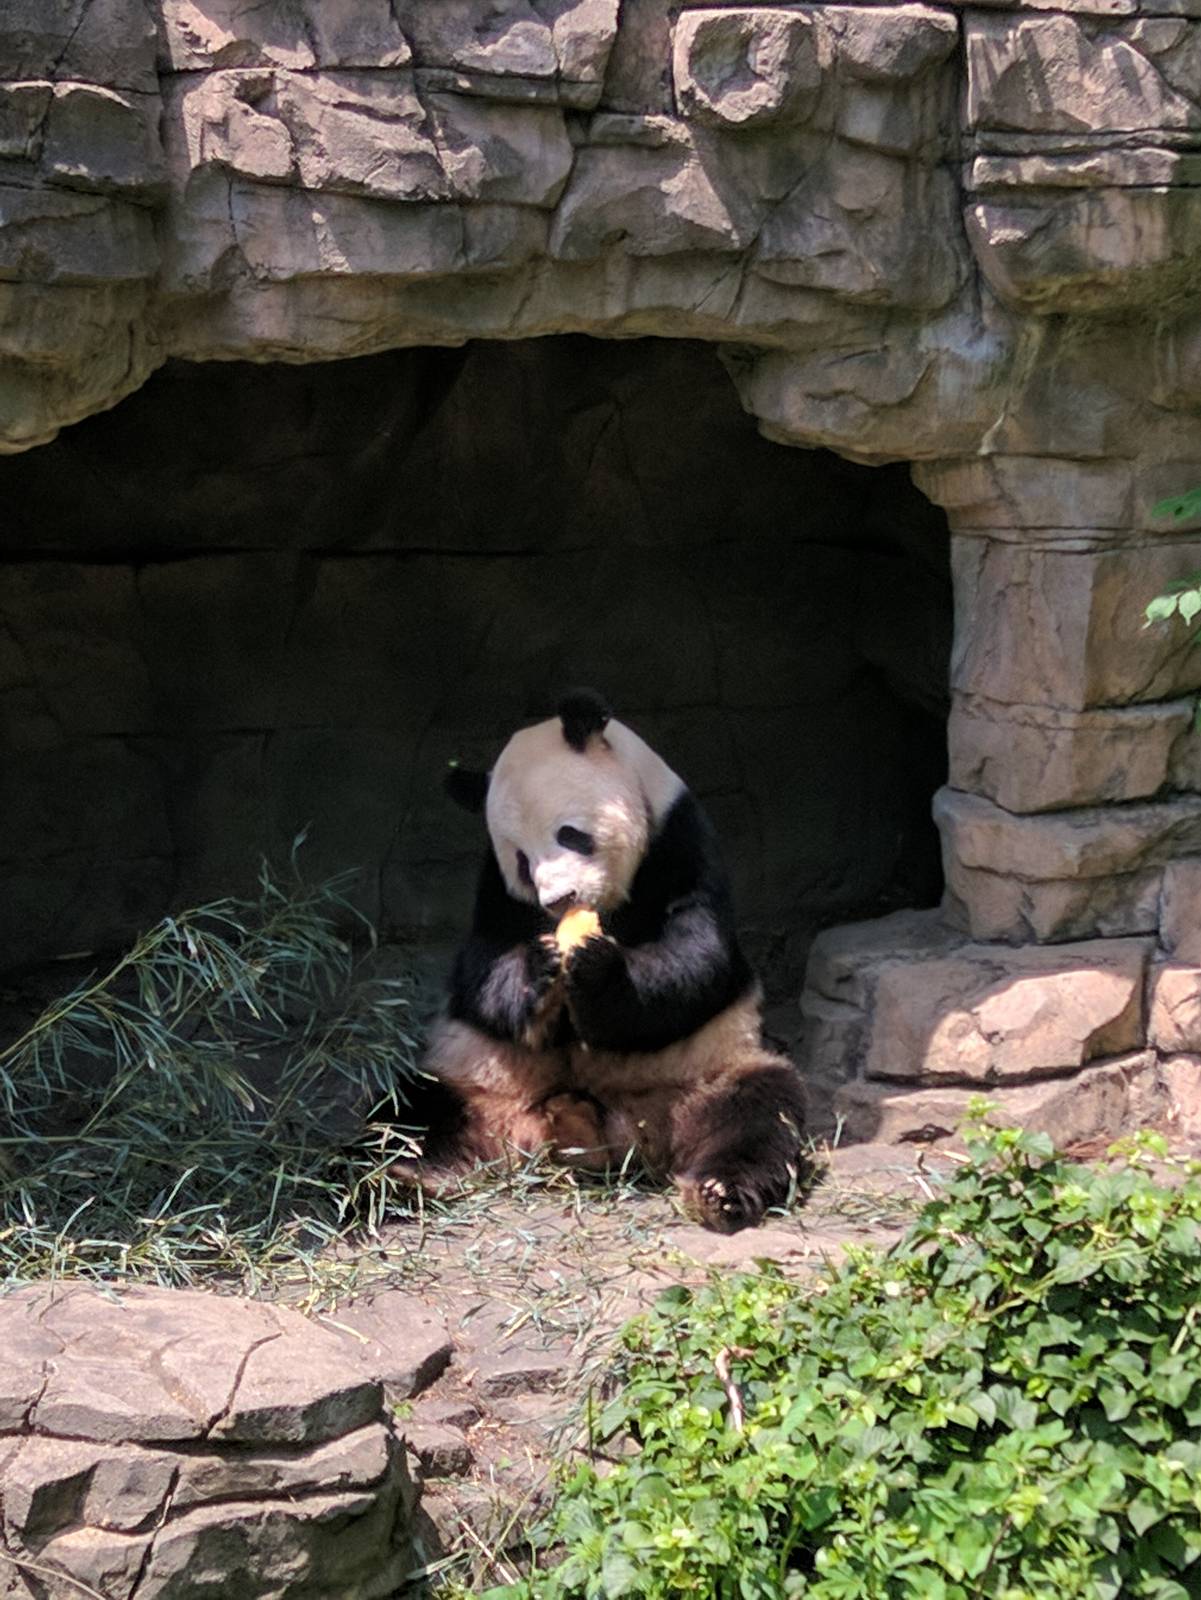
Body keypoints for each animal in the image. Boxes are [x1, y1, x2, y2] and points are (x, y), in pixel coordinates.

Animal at [405, 690, 806, 1233]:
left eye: (570, 834)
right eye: (522, 863)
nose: (559, 899)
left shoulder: (679, 841)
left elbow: (698, 952)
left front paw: (597, 973)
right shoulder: (495, 893)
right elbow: (479, 968)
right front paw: (539, 973)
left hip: (708, 1069)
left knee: (759, 1112)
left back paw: (721, 1193)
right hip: (474, 1079)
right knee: (411, 1114)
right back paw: (397, 1179)